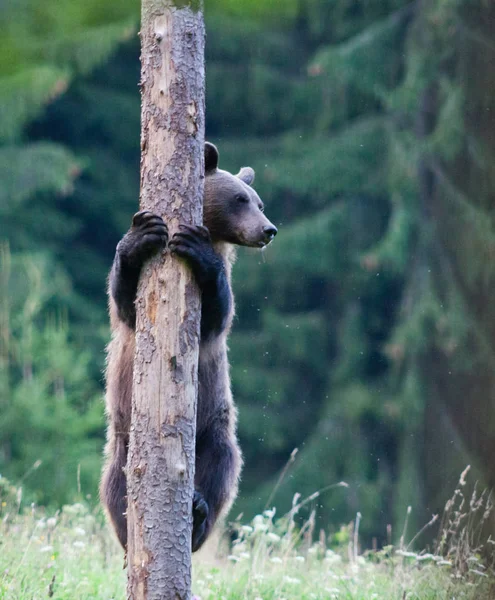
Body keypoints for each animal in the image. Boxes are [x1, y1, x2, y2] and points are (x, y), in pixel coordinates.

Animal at [100, 142, 280, 552]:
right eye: (240, 199)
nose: (268, 229)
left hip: (213, 426)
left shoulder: (216, 309)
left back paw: (198, 512)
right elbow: (123, 300)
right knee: (114, 485)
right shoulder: (128, 316)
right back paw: (127, 521)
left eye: (259, 202)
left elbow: (218, 314)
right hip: (122, 443)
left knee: (222, 470)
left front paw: (196, 248)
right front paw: (142, 234)